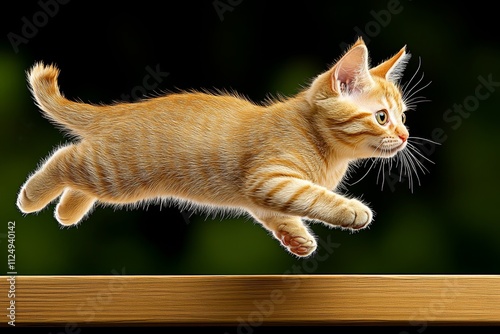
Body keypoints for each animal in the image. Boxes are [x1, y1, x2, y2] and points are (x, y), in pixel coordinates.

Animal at [18, 38, 418, 258]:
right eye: (382, 117)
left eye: (403, 117)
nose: (404, 136)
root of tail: (120, 110)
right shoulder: (268, 178)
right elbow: (313, 196)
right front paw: (351, 210)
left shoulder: (262, 193)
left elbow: (280, 212)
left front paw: (296, 237)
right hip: (116, 172)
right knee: (64, 158)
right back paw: (31, 196)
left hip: (111, 177)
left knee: (76, 174)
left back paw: (66, 212)